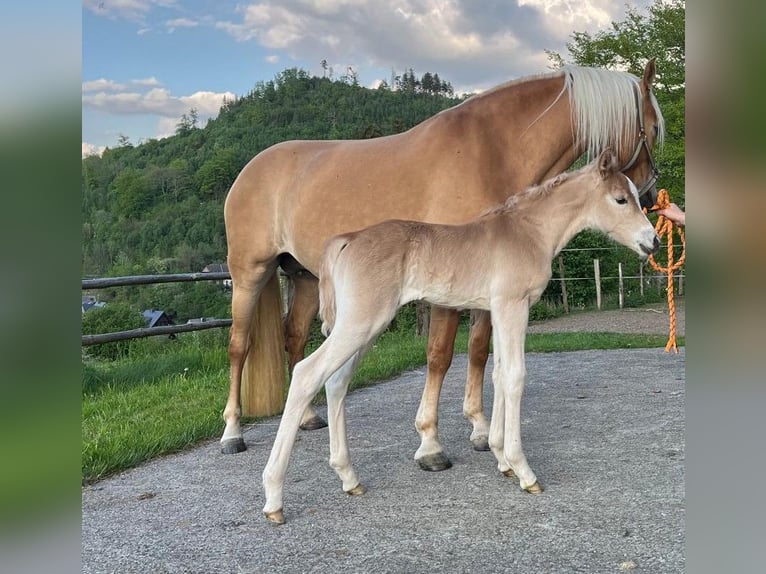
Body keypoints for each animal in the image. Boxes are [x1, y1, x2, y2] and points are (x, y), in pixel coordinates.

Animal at [224, 60, 664, 472]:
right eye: (655, 128)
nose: (651, 199)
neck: (490, 149)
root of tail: (249, 169)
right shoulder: (448, 290)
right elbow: (439, 355)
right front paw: (431, 444)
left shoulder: (486, 288)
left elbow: (480, 351)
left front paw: (481, 430)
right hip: (249, 275)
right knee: (240, 345)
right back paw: (233, 433)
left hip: (305, 279)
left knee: (295, 339)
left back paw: (308, 417)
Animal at [262, 150, 660, 528]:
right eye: (621, 199)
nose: (653, 241)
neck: (529, 231)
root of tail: (348, 240)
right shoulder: (512, 306)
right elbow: (515, 377)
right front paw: (524, 470)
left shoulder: (498, 310)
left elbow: (498, 375)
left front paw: (501, 458)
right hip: (361, 322)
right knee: (307, 374)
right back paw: (274, 498)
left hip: (364, 326)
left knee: (336, 382)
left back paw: (349, 478)